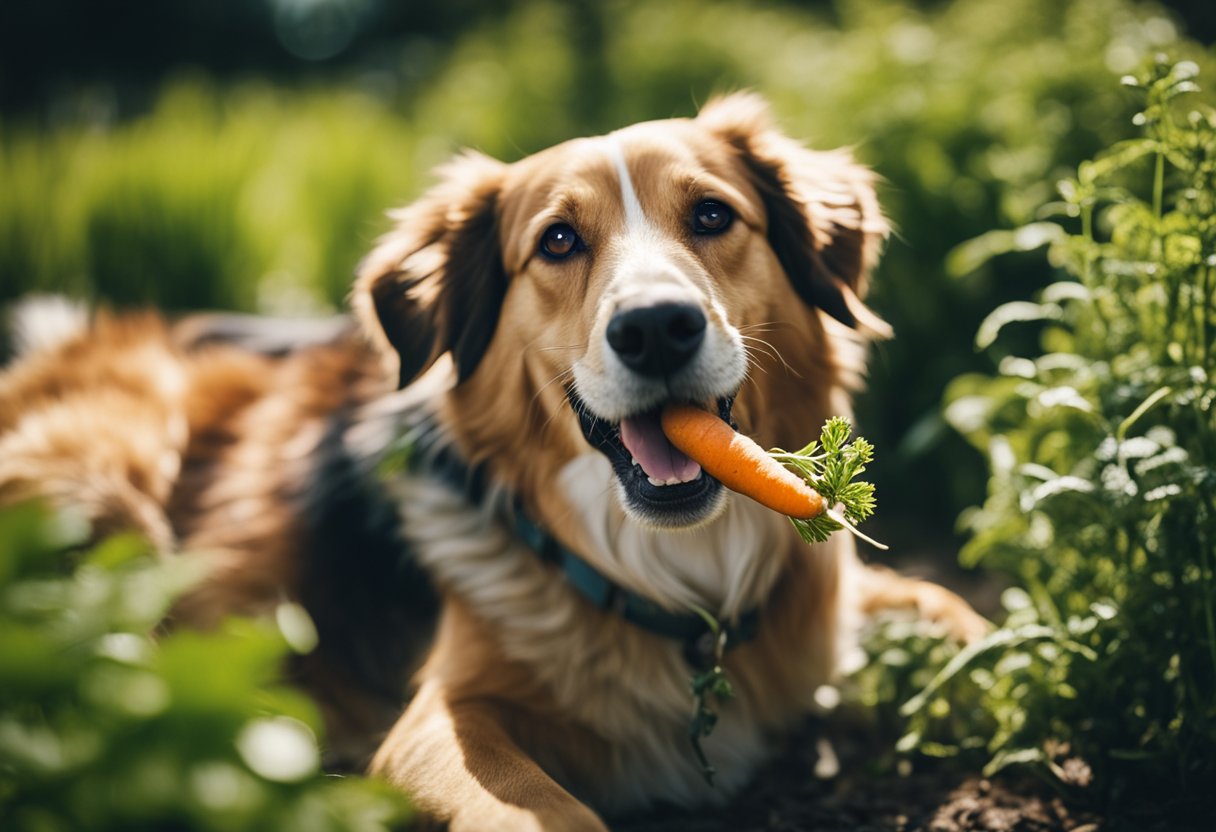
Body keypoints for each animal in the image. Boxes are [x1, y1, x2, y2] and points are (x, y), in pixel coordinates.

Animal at [0, 96, 982, 832]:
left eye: (712, 216)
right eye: (557, 241)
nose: (655, 328)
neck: (676, 577)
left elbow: (948, 608)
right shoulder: (437, 719)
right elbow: (538, 810)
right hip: (109, 477)